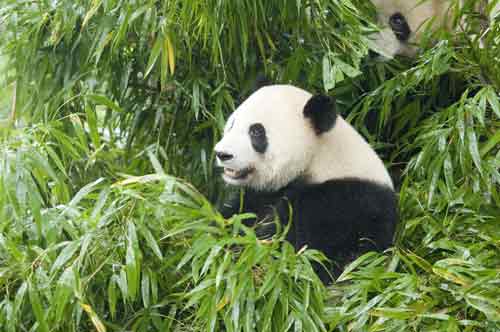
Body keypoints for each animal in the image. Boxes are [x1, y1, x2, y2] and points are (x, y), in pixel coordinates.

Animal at [215, 84, 398, 282]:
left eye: (256, 131)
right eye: (232, 124)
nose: (222, 154)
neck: (319, 158)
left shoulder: (339, 204)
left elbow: (290, 253)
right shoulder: (260, 195)